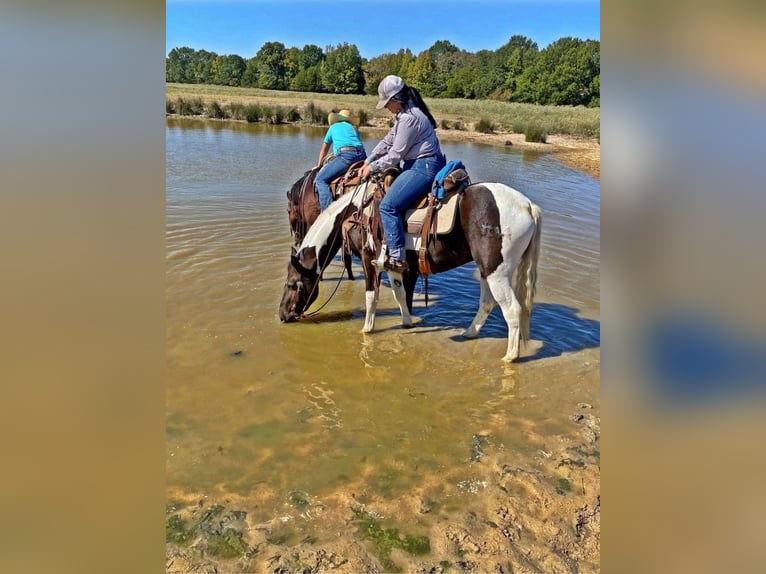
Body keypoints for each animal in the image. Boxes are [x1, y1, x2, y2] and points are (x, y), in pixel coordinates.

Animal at [279, 177, 542, 362]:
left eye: (292, 284)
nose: (282, 315)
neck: (355, 213)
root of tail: (527, 205)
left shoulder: (368, 259)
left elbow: (371, 296)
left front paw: (367, 329)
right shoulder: (393, 264)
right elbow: (399, 294)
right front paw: (407, 322)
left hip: (496, 272)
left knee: (512, 309)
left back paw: (511, 356)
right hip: (486, 271)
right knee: (487, 303)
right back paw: (469, 333)